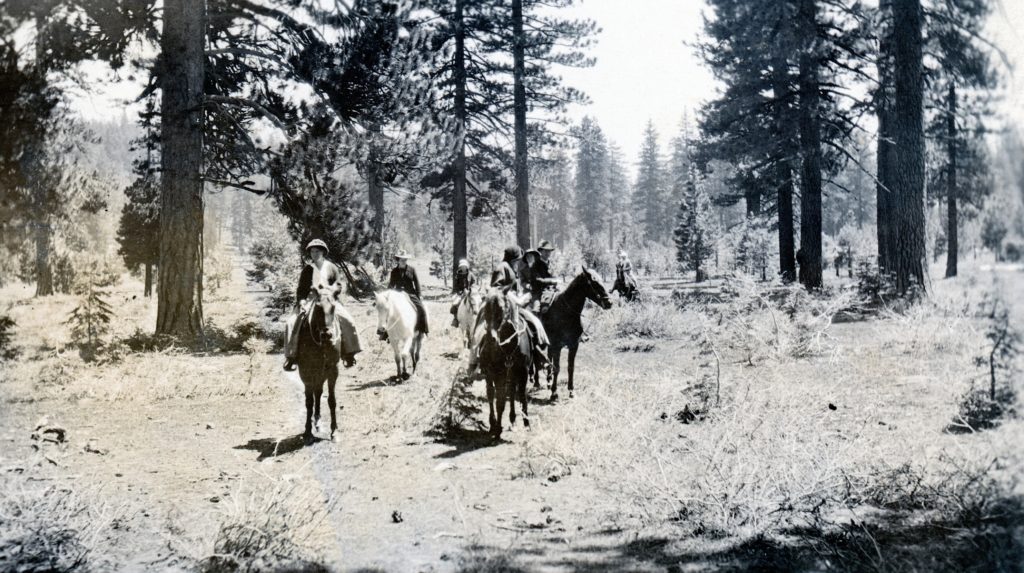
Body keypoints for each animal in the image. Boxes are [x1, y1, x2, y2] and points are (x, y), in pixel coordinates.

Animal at [299, 292, 342, 446]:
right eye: (317, 308)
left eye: (334, 307)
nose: (327, 334)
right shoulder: (306, 372)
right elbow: (308, 402)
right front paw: (307, 433)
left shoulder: (333, 370)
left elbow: (332, 400)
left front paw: (334, 432)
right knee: (314, 394)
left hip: (321, 374)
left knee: (318, 392)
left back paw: (317, 421)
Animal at [475, 290, 532, 437]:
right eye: (485, 310)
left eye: (501, 309)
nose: (491, 339)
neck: (509, 346)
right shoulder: (496, 373)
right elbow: (498, 400)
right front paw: (496, 427)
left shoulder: (523, 371)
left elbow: (521, 395)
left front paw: (526, 423)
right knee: (493, 394)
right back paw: (495, 423)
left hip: (512, 374)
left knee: (511, 392)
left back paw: (513, 420)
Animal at [540, 268, 610, 399]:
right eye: (594, 282)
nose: (609, 303)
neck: (566, 312)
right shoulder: (557, 346)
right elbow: (557, 368)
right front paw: (554, 393)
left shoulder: (573, 345)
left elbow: (570, 367)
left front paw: (571, 391)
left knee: (549, 356)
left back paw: (548, 380)